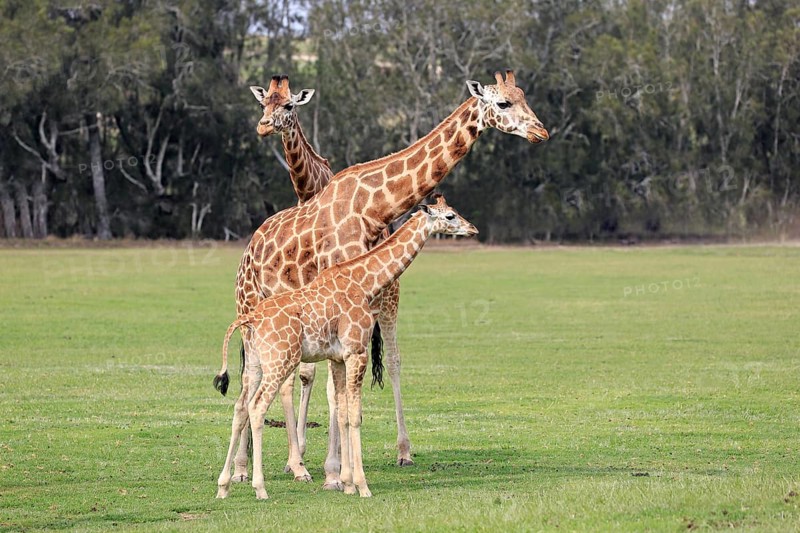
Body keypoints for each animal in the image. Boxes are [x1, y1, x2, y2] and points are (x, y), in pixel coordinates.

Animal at [215, 195, 478, 500]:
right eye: (450, 216)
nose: (473, 229)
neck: (365, 282)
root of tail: (250, 318)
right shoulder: (356, 351)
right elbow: (355, 415)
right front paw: (362, 485)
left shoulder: (340, 357)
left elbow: (341, 412)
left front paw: (347, 482)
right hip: (280, 361)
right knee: (257, 407)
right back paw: (261, 487)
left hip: (257, 363)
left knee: (240, 407)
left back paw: (224, 485)